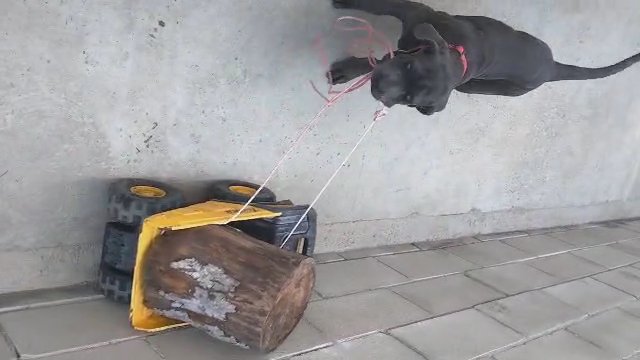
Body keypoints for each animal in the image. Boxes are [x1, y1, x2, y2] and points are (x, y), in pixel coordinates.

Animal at [330, 0, 640, 115]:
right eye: (408, 66)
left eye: (409, 100)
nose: (380, 88)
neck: (457, 54)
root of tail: (553, 68)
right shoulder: (416, 13)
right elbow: (380, 6)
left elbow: (378, 60)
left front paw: (348, 70)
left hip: (486, 88)